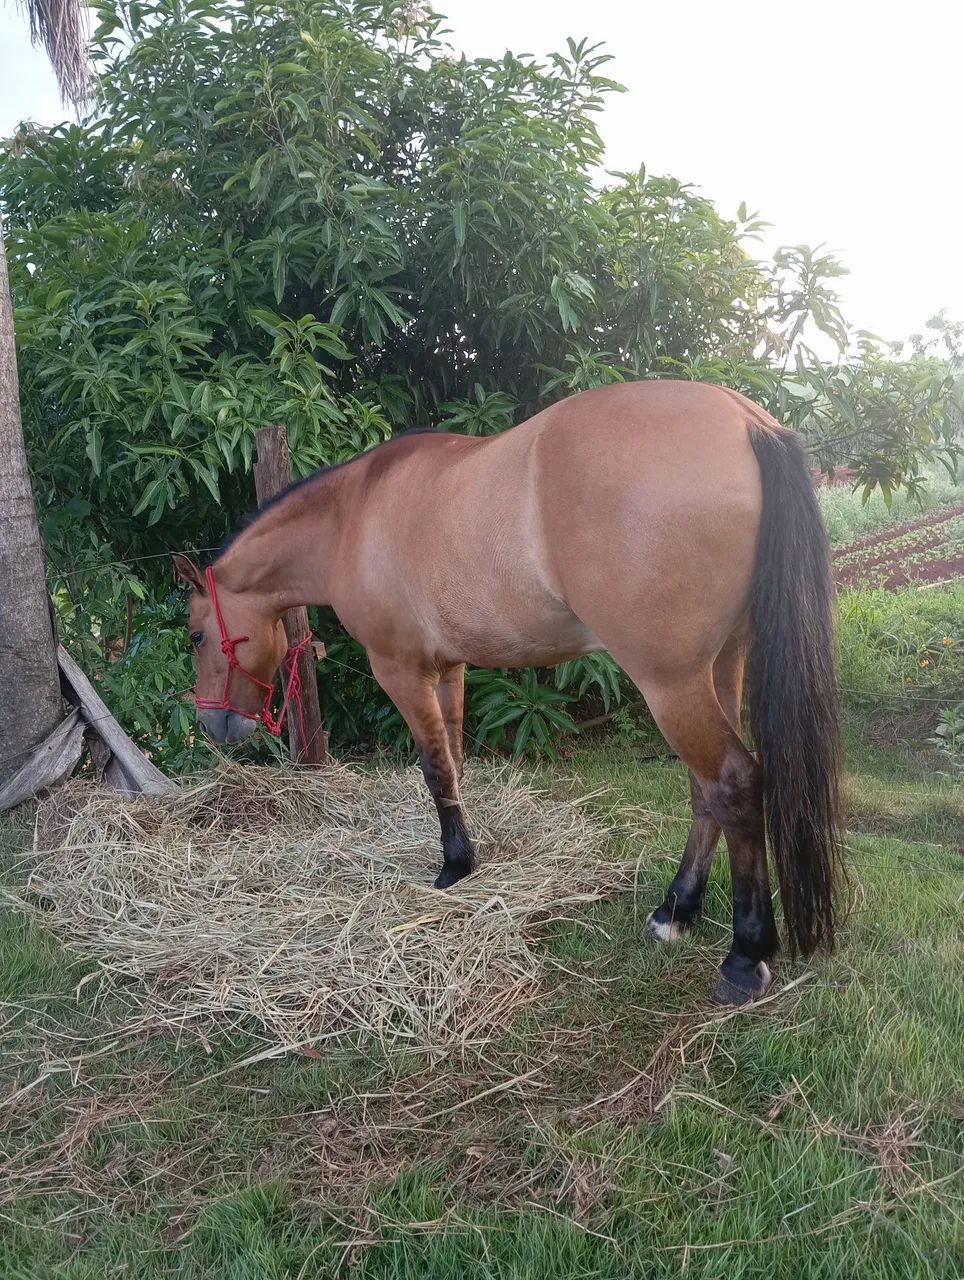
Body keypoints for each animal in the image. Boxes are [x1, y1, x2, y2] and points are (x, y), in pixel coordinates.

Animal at [174, 379, 841, 1005]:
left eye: (196, 635)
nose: (214, 726)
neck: (352, 514)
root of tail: (746, 421)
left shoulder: (401, 671)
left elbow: (434, 769)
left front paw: (453, 866)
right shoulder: (447, 670)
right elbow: (454, 761)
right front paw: (467, 856)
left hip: (670, 684)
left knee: (733, 783)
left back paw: (744, 956)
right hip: (721, 665)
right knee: (706, 791)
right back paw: (676, 909)